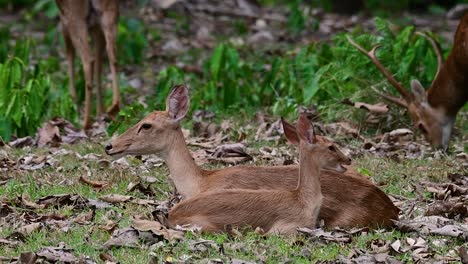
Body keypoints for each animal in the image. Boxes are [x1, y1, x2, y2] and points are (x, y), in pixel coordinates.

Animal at [55, 0, 120, 129]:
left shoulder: (64, 19)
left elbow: (70, 55)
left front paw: (73, 100)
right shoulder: (96, 27)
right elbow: (99, 65)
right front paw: (100, 111)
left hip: (75, 19)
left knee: (88, 59)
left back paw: (85, 122)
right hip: (109, 13)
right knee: (112, 55)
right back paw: (114, 107)